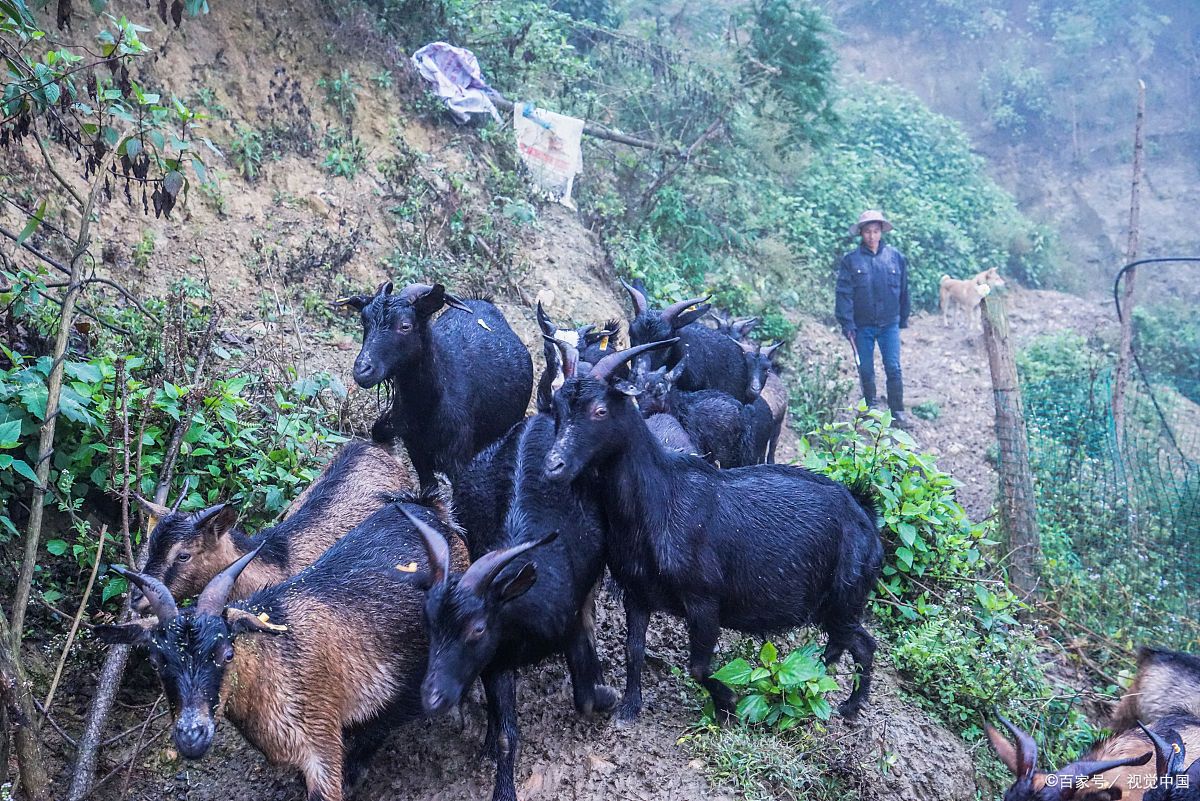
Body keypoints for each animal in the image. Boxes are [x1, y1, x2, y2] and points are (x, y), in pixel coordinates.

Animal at [98, 494, 465, 801]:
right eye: (157, 661)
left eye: (227, 653)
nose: (192, 736)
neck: (275, 662)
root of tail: (433, 511)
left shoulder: (320, 741)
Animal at [436, 342, 614, 801]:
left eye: (477, 627)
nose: (438, 696)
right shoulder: (496, 662)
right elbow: (505, 734)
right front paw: (498, 776)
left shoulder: (569, 623)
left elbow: (586, 696)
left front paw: (606, 693)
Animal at [544, 340, 883, 724]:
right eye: (557, 407)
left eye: (600, 410)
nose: (553, 465)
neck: (660, 500)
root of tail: (866, 517)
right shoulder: (637, 592)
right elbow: (634, 650)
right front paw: (629, 708)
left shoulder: (704, 600)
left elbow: (700, 667)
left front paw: (727, 705)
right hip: (831, 607)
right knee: (842, 645)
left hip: (845, 599)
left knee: (863, 644)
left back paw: (850, 706)